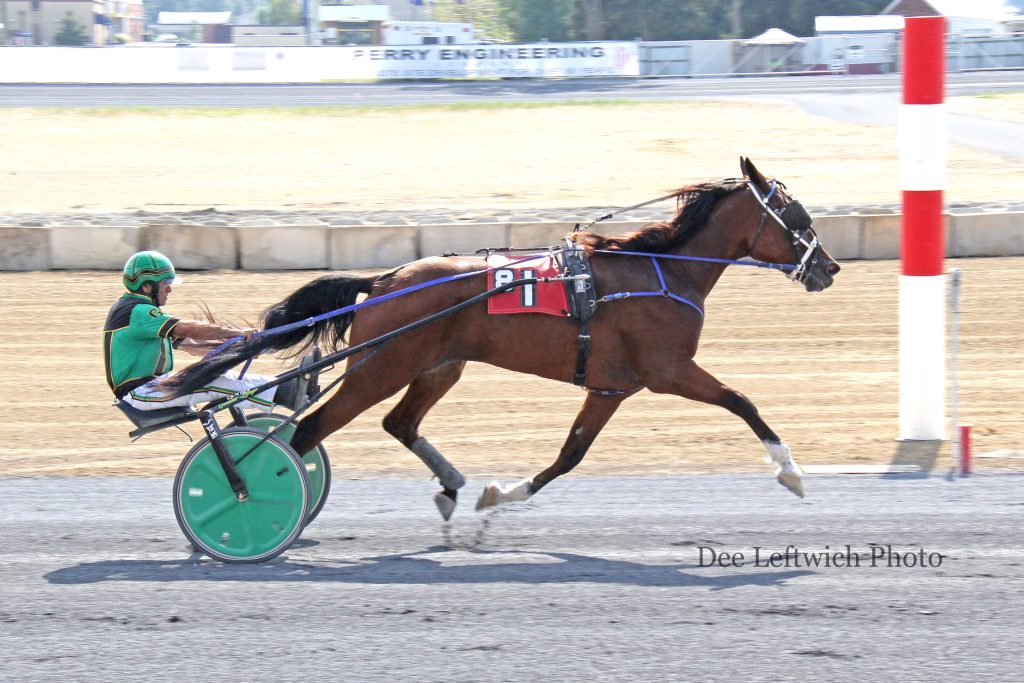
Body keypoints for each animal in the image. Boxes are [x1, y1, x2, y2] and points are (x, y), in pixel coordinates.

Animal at [163, 157, 839, 520]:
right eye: (797, 215)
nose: (829, 267)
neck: (660, 271)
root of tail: (384, 279)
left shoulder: (611, 388)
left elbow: (569, 455)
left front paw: (500, 494)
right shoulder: (668, 370)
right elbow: (742, 402)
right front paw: (791, 472)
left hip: (439, 365)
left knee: (397, 424)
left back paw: (451, 486)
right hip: (381, 367)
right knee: (306, 434)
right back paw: (261, 506)